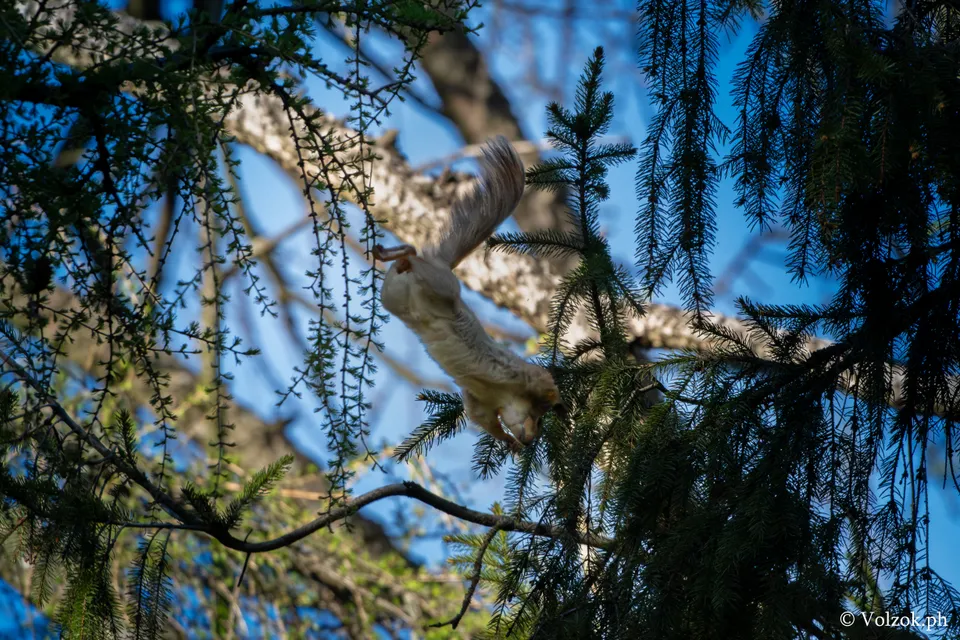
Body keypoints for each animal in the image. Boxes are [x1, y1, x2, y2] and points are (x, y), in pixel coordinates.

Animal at [374, 136, 563, 451]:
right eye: (536, 418)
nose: (528, 441)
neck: (504, 396)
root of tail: (440, 264)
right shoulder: (521, 376)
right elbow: (543, 382)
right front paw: (555, 399)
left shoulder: (479, 403)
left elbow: (483, 420)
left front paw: (508, 443)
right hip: (441, 285)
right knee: (415, 257)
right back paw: (399, 255)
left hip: (392, 297)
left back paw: (390, 256)